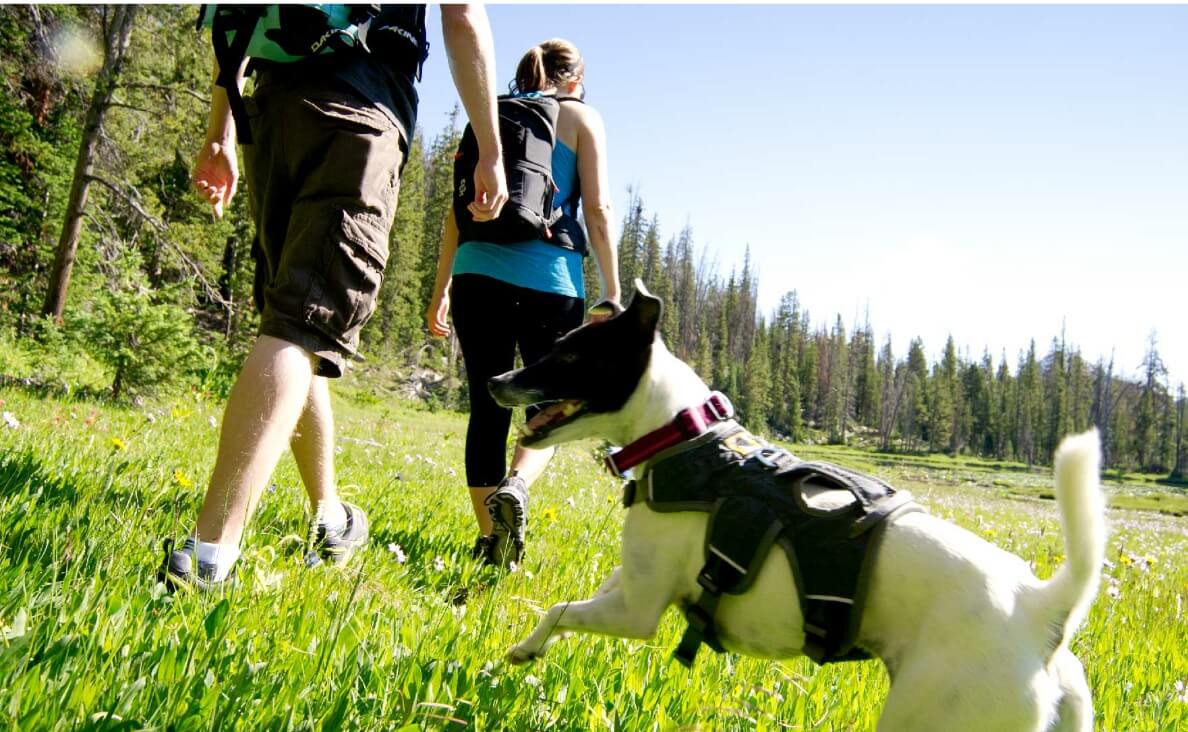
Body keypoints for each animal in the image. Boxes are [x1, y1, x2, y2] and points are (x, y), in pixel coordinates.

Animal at [489, 282, 1102, 727]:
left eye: (568, 354)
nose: (495, 379)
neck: (684, 435)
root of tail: (1041, 609)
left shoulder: (636, 614)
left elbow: (558, 610)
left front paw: (523, 649)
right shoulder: (630, 585)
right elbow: (578, 603)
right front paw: (534, 649)